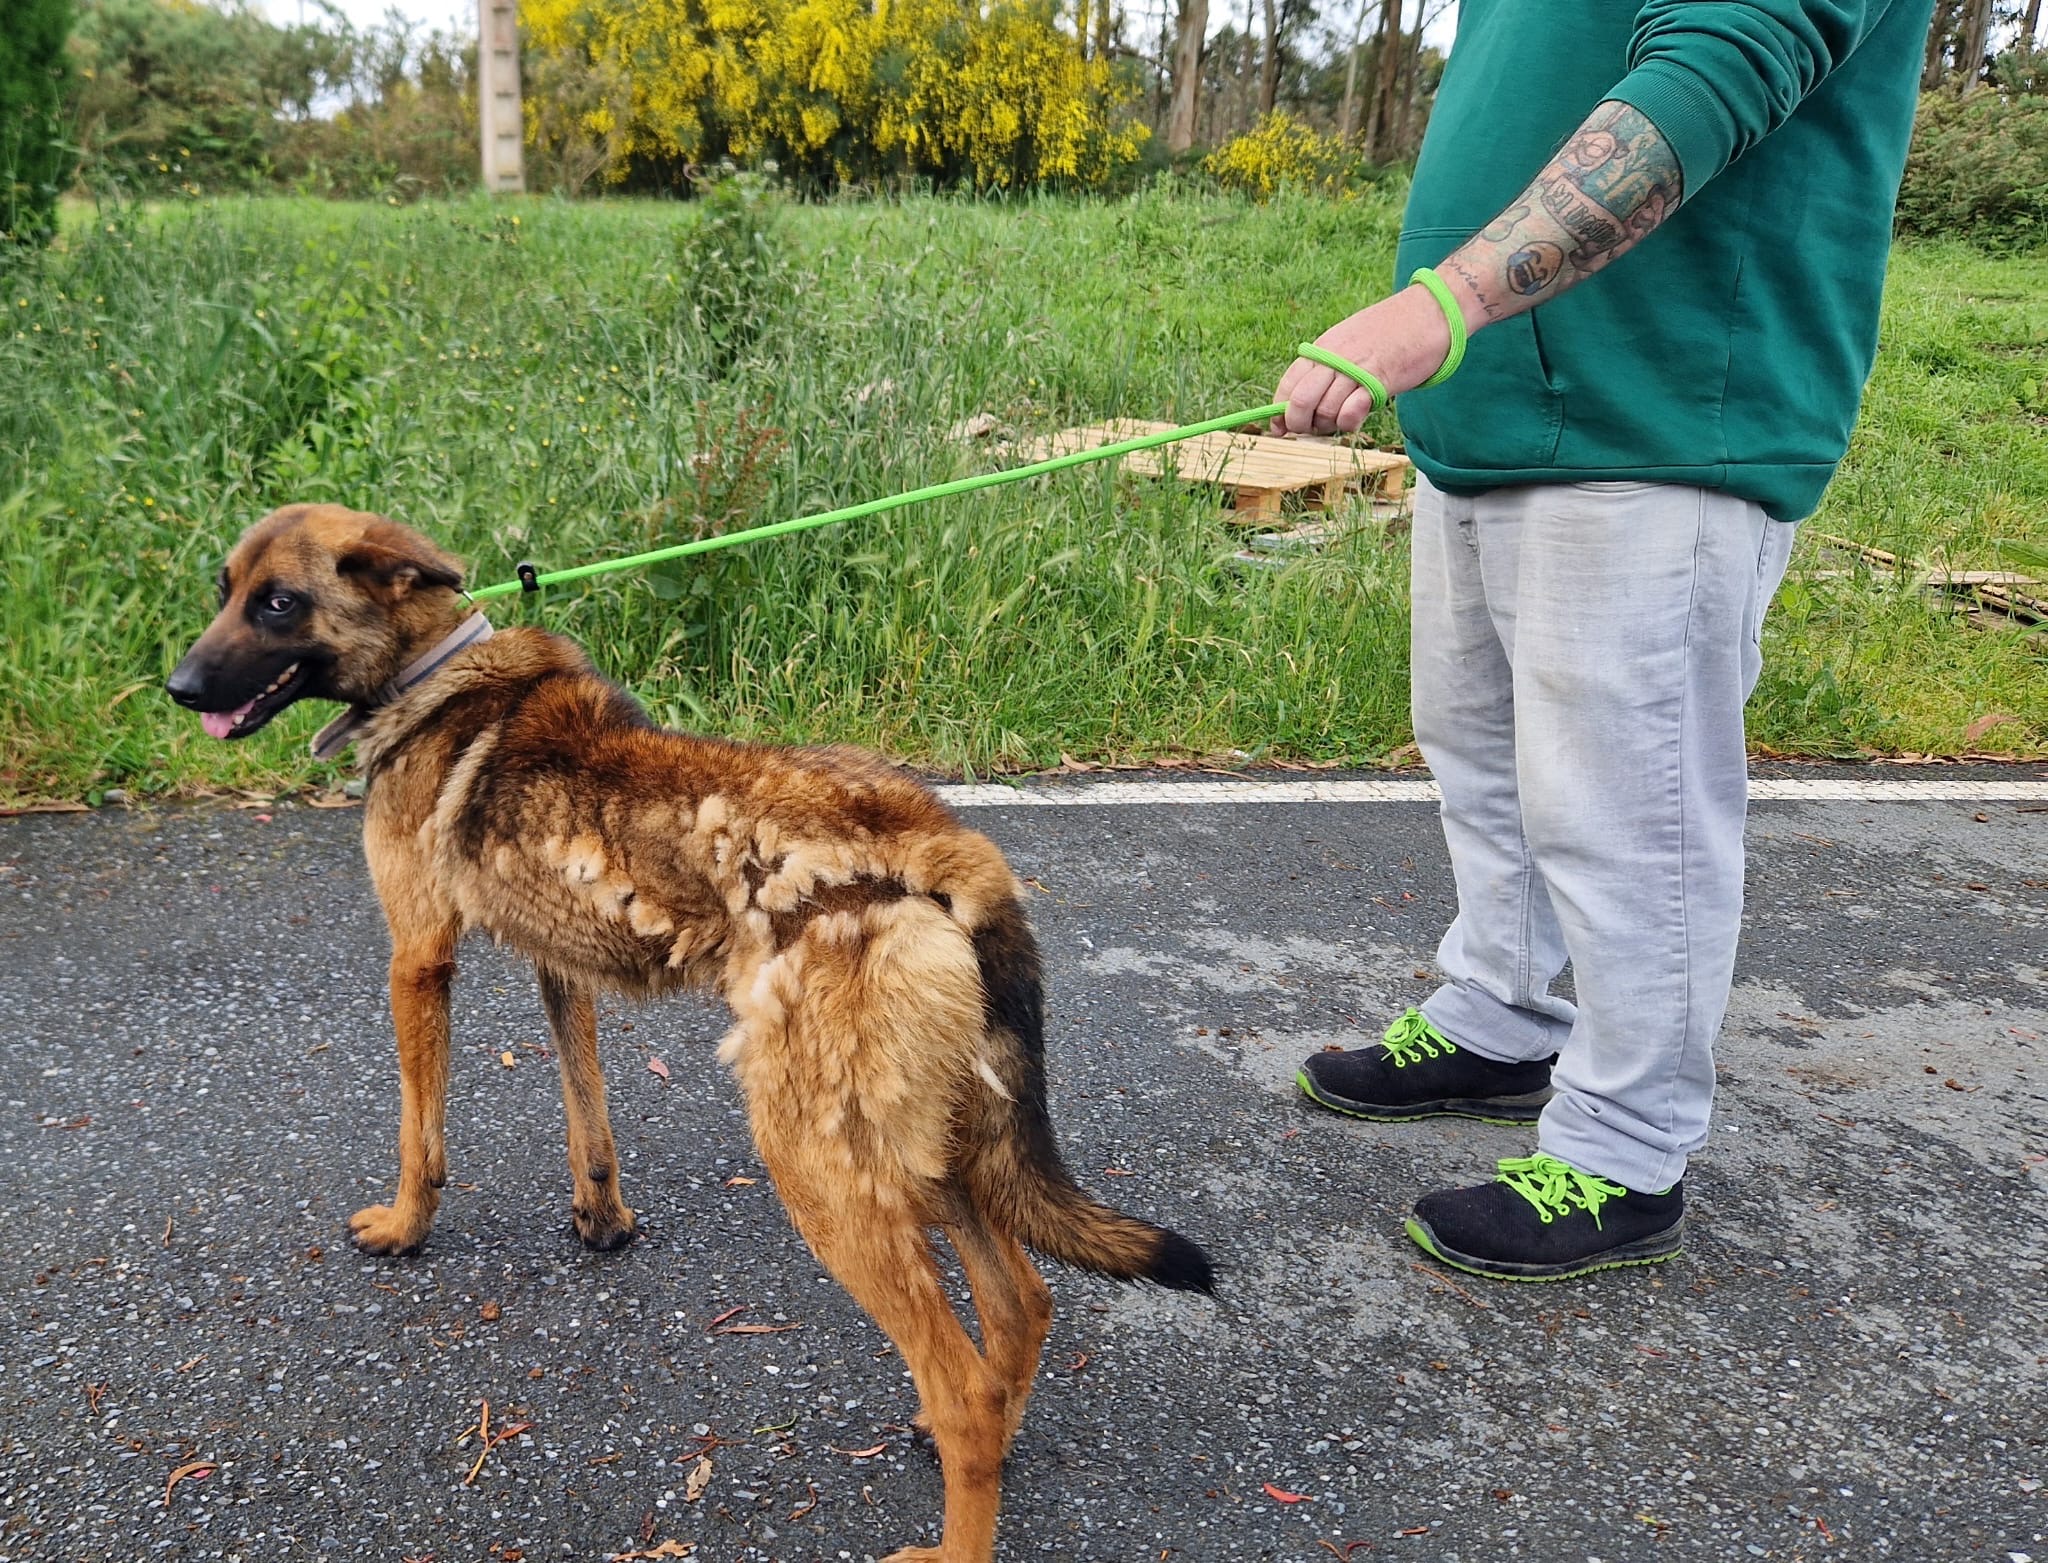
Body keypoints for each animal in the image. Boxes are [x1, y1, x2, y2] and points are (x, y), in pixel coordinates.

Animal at [166, 503, 1213, 1562]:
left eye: (278, 603)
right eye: (222, 589)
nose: (178, 688)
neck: (434, 671)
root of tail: (941, 842)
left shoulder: (417, 961)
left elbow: (421, 1136)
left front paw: (404, 1227)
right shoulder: (564, 970)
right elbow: (587, 1115)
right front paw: (602, 1221)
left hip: (822, 1167)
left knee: (964, 1380)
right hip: (923, 1153)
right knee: (1022, 1304)